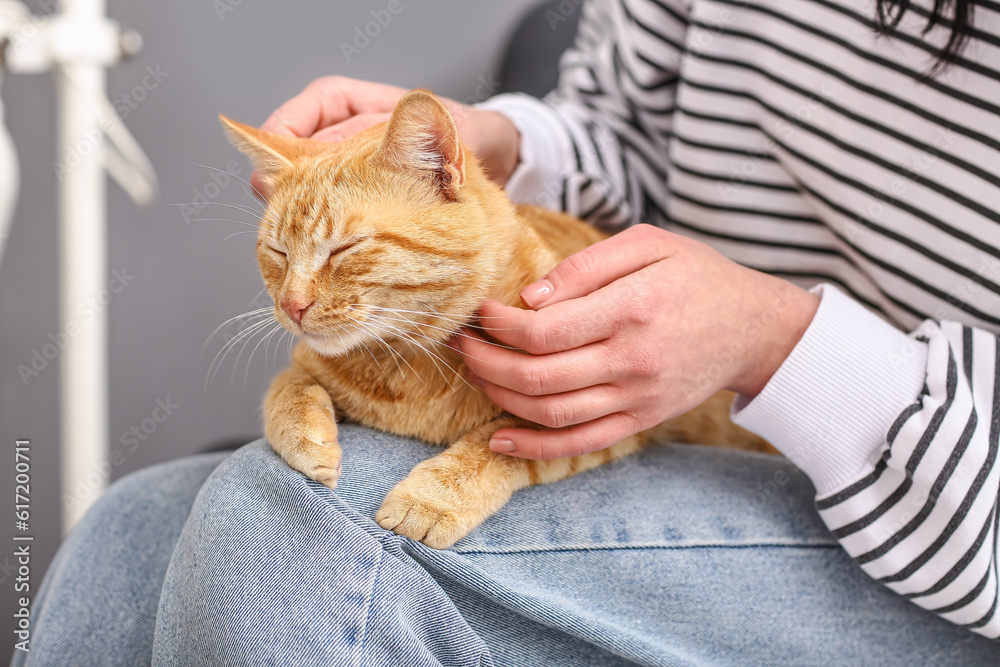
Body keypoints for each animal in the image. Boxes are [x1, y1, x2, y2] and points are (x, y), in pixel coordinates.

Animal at [221, 90, 772, 548]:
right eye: (277, 252)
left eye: (345, 248)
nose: (291, 306)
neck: (410, 364)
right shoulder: (305, 365)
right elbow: (287, 390)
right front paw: (308, 441)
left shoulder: (596, 424)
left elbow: (495, 443)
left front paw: (431, 500)